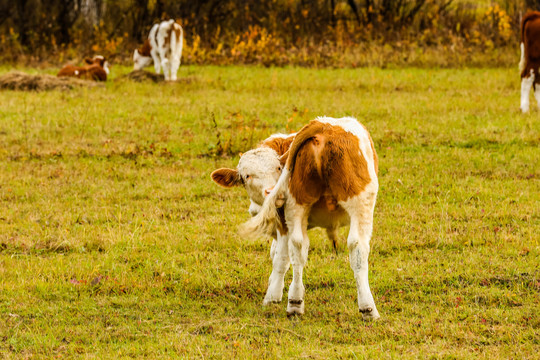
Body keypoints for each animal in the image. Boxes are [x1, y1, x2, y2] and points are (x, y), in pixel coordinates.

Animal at [211, 116, 380, 320]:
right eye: (247, 176)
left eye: (278, 167)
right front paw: (274, 291)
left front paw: (273, 293)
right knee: (353, 247)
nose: (270, 192)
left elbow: (279, 256)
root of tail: (323, 126)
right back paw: (364, 308)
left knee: (298, 248)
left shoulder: (281, 221)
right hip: (355, 204)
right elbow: (279, 255)